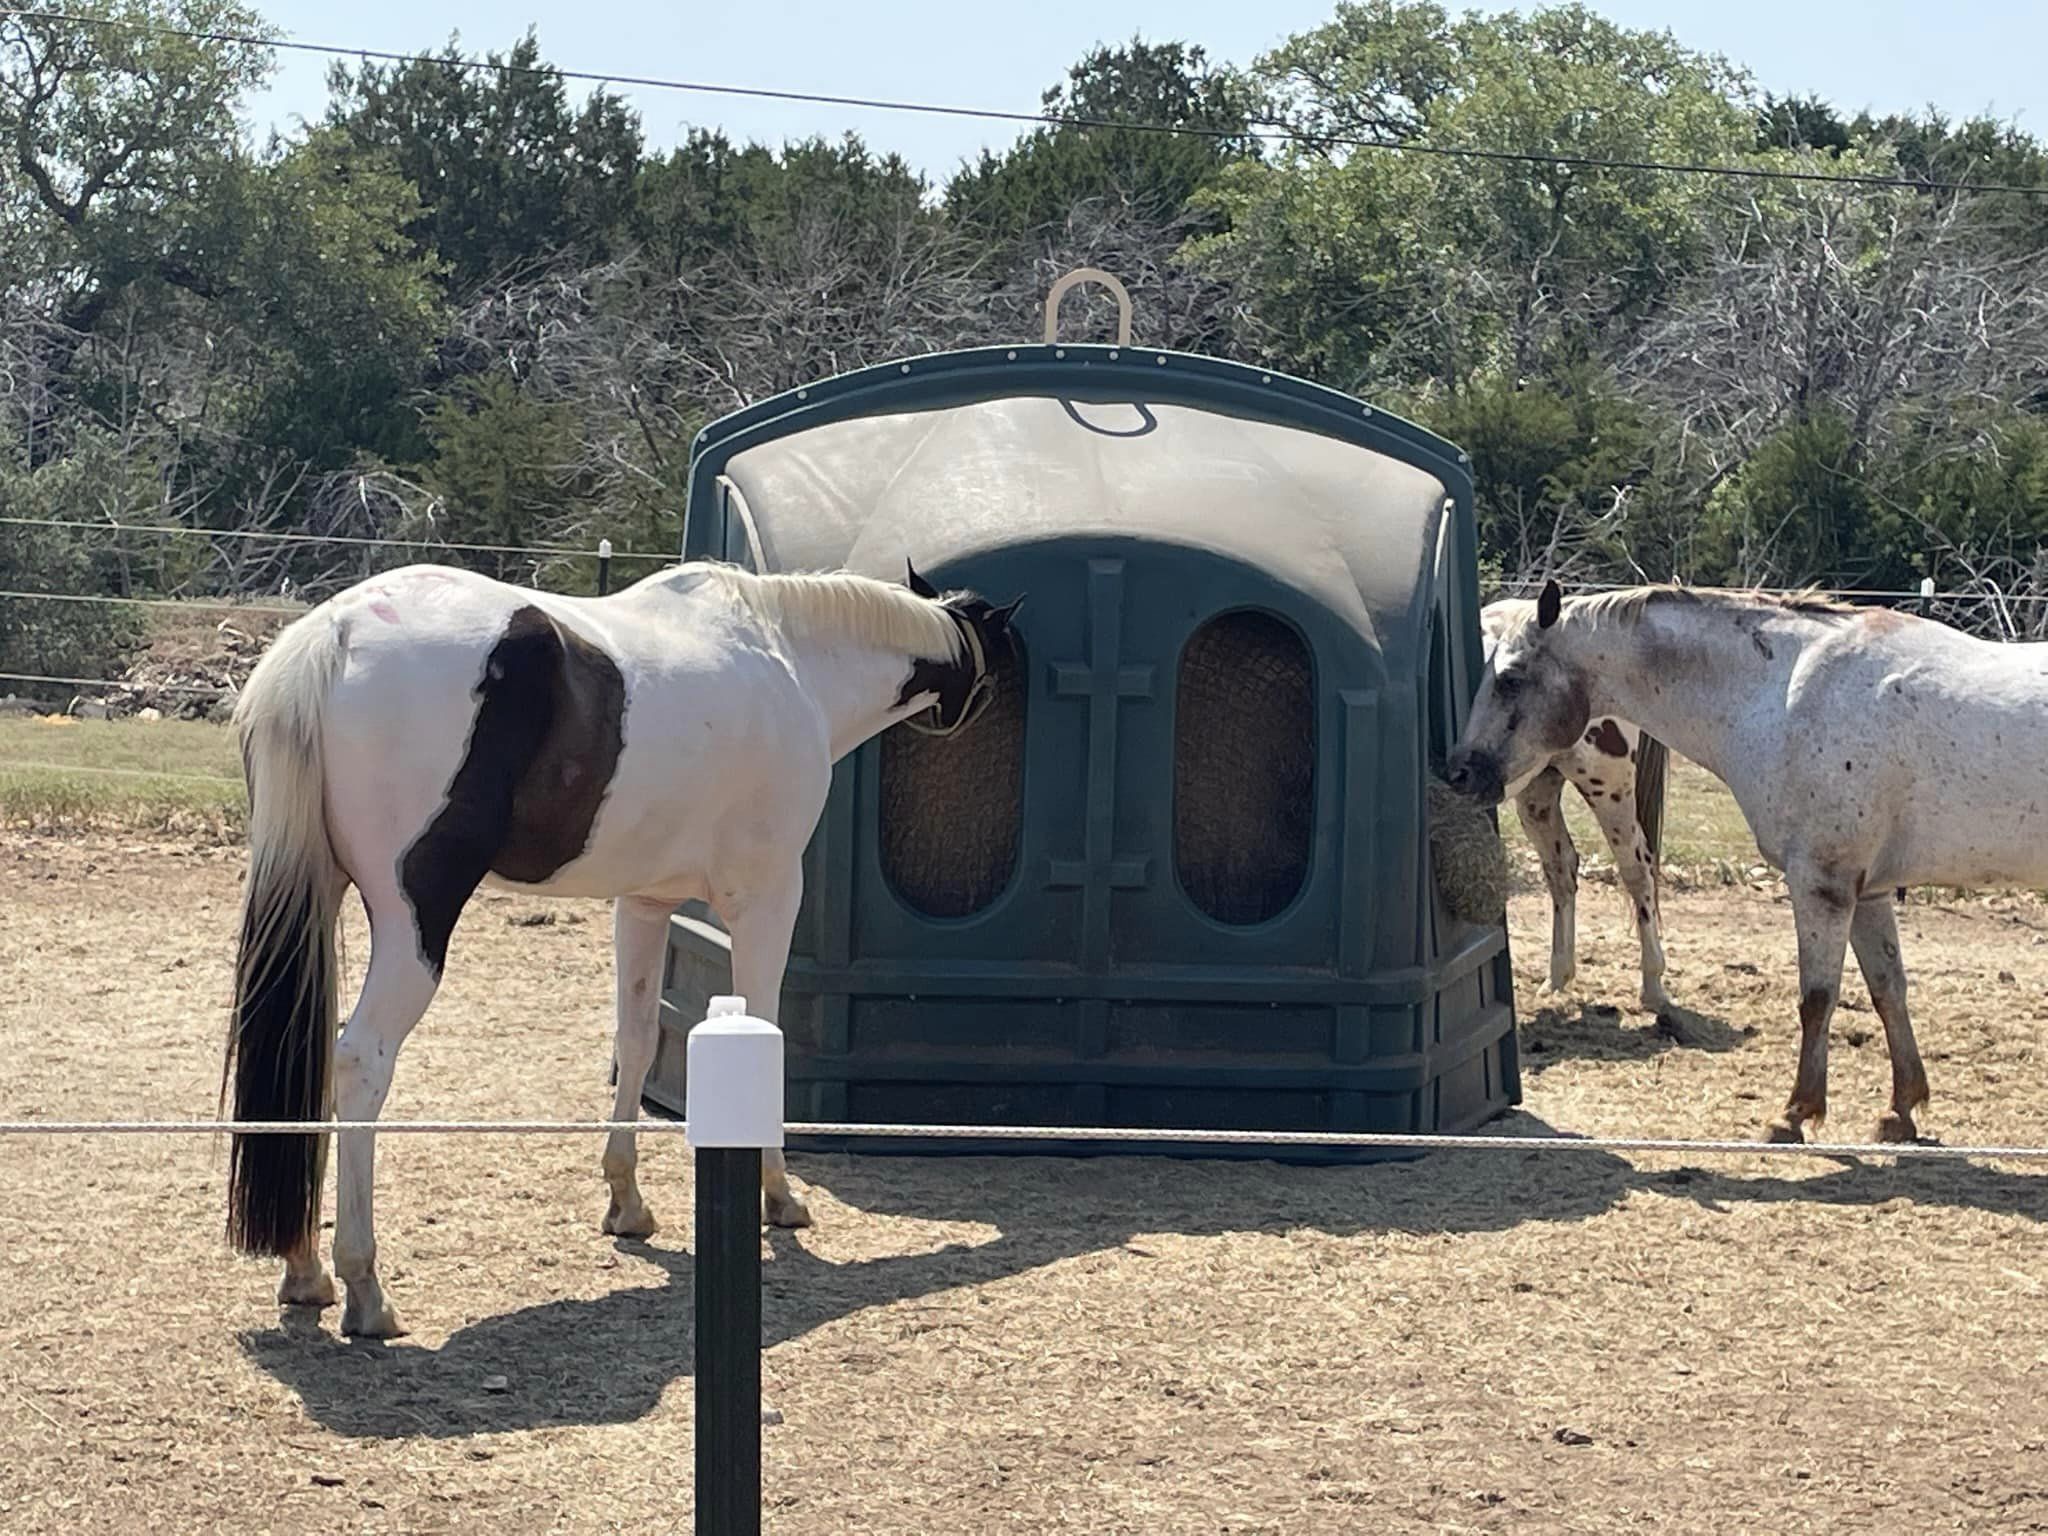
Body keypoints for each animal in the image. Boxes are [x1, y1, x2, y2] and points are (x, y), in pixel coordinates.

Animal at [223, 556, 1021, 1337]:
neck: (790, 656)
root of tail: (335, 632)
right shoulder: (766, 898)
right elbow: (764, 1035)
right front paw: (780, 1196)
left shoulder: (645, 903)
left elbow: (637, 1041)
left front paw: (627, 1204)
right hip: (413, 922)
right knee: (362, 1064)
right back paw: (364, 1287)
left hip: (318, 897)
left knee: (304, 1052)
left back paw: (305, 1271)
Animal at [1481, 598, 1672, 1011]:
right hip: (1537, 791)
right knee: (1561, 868)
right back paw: (1557, 978)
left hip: (1607, 786)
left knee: (1638, 869)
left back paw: (1652, 987)